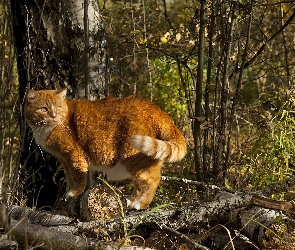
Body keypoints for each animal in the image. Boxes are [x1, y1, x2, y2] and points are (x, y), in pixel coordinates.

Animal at [24, 89, 186, 210]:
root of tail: (156, 109)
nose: (53, 115)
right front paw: (70, 192)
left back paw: (140, 204)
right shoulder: (64, 160)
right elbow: (70, 177)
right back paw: (131, 201)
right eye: (43, 109)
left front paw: (74, 192)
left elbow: (78, 177)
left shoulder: (73, 156)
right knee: (140, 183)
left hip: (136, 156)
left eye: (58, 107)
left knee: (152, 180)